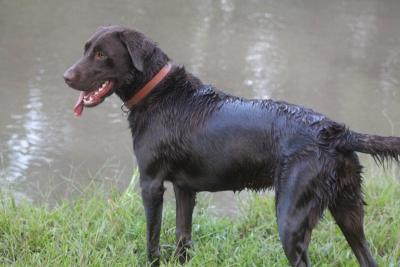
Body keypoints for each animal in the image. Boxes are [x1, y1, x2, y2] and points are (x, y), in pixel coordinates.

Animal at [63, 25, 400, 267]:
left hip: (292, 219)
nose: (65, 76)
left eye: (101, 54)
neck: (159, 93)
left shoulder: (151, 183)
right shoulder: (184, 189)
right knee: (367, 257)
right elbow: (183, 236)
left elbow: (153, 238)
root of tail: (336, 132)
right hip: (349, 211)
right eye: (86, 49)